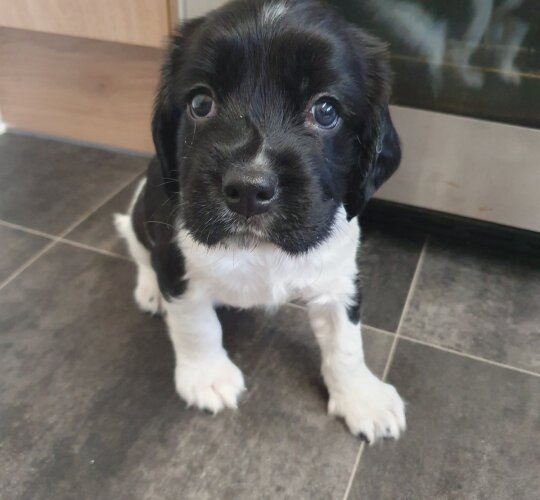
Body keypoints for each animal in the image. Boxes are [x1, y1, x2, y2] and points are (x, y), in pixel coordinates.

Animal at [118, 0, 404, 444]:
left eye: (326, 111)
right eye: (200, 104)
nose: (249, 189)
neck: (260, 248)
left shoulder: (338, 276)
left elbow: (345, 342)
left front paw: (361, 397)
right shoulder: (176, 263)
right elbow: (196, 323)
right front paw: (207, 376)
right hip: (138, 209)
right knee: (137, 248)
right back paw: (150, 290)